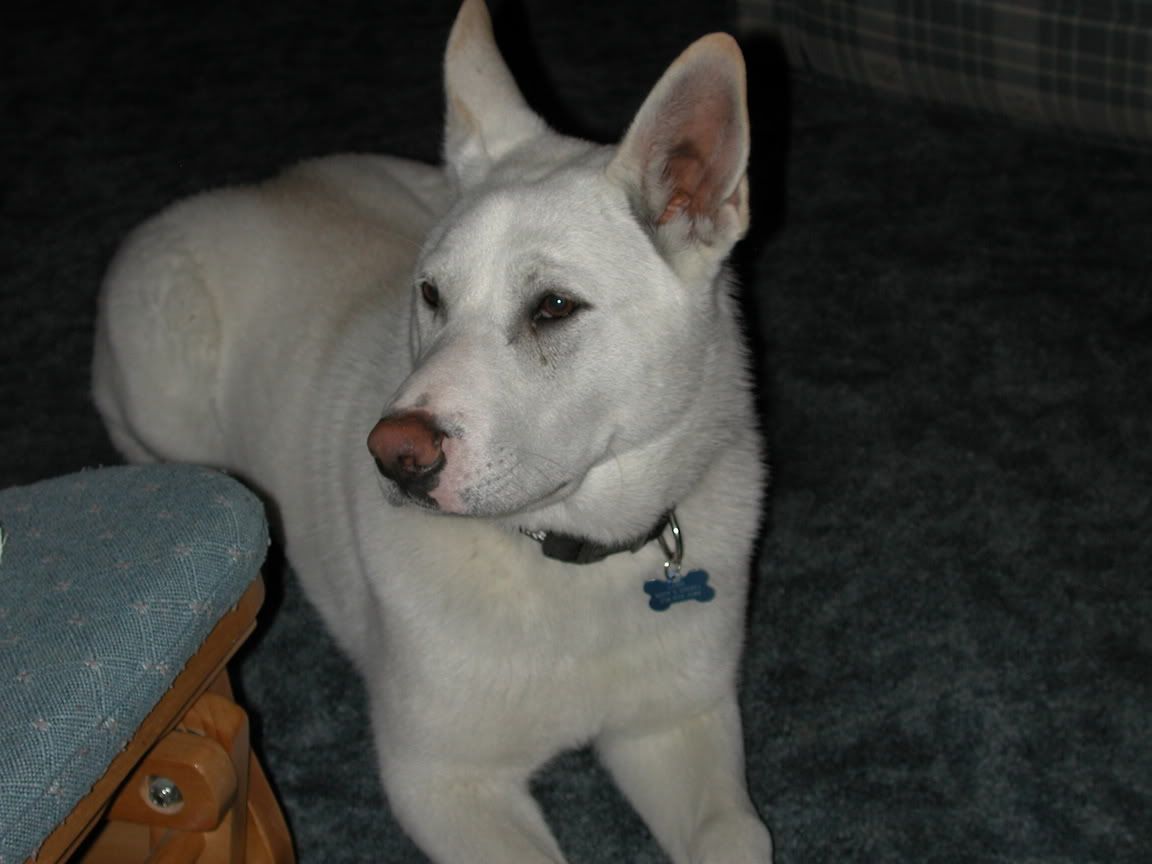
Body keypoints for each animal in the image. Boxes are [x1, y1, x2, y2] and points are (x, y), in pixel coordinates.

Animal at [92, 3, 774, 861]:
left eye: (554, 306)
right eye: (430, 294)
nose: (394, 456)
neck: (567, 558)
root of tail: (255, 188)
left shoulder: (679, 725)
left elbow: (736, 834)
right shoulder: (443, 781)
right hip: (164, 391)